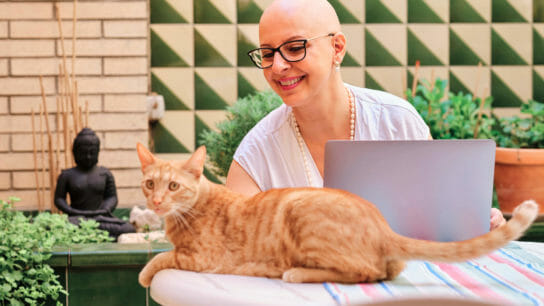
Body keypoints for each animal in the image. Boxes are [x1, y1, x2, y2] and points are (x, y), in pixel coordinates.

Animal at [137, 143, 540, 286]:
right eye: (149, 184)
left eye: (173, 187)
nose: (155, 202)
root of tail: (383, 225)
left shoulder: (201, 259)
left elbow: (161, 257)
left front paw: (144, 275)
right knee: (388, 269)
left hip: (298, 209)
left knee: (367, 272)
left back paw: (296, 273)